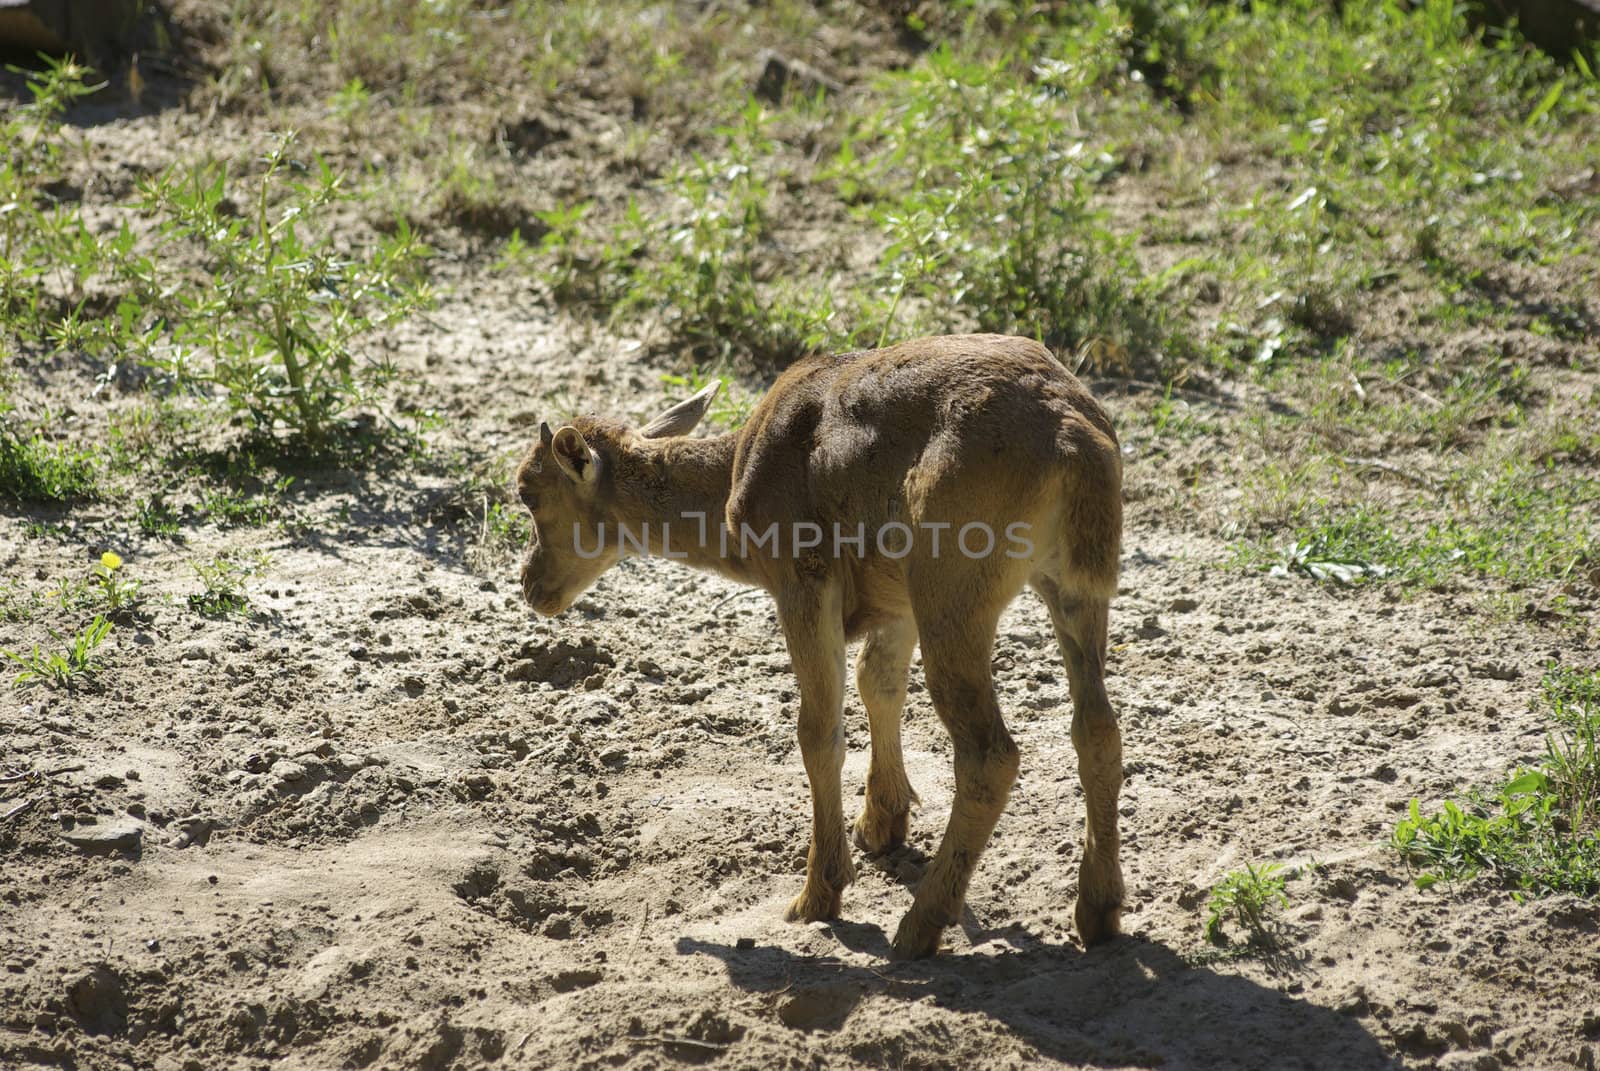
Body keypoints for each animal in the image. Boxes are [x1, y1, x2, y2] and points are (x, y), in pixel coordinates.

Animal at [515, 331, 1126, 954]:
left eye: (528, 494)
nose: (531, 585)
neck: (735, 492)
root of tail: (1075, 438)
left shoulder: (804, 579)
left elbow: (818, 731)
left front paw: (817, 895)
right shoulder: (896, 598)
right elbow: (877, 681)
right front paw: (881, 823)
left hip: (953, 590)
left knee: (990, 754)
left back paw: (919, 926)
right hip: (1069, 586)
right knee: (1096, 726)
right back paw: (1098, 910)